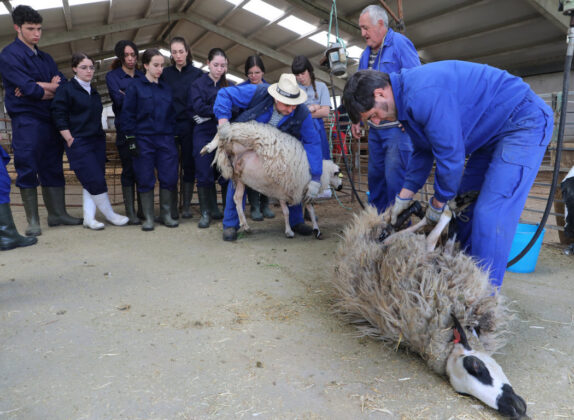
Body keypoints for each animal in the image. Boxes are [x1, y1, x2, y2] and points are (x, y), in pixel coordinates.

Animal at [201, 121, 344, 240]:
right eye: (337, 174)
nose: (341, 187)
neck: (319, 174)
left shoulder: (303, 193)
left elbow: (311, 211)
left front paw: (316, 230)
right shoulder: (283, 192)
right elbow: (286, 212)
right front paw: (289, 232)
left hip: (240, 176)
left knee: (237, 198)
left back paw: (245, 226)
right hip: (244, 133)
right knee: (223, 131)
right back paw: (207, 148)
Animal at [336, 206, 528, 416]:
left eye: (476, 366)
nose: (514, 408)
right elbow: (431, 238)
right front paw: (443, 216)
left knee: (396, 232)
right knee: (402, 235)